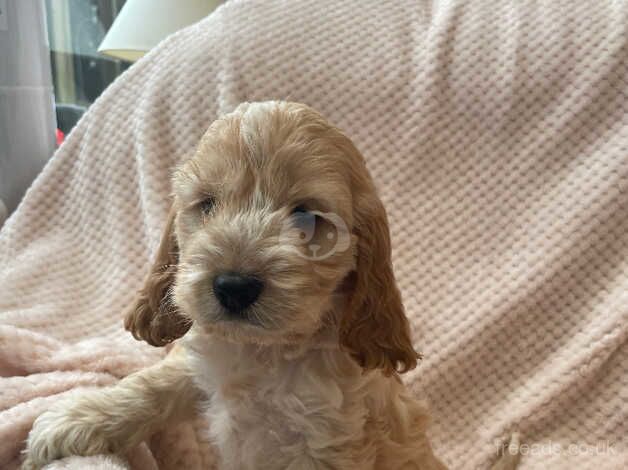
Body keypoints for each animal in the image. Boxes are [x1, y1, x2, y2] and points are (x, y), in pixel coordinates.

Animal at [22, 101, 516, 468]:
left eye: (306, 218)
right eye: (208, 204)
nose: (233, 286)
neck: (263, 352)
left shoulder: (326, 441)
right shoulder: (201, 364)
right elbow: (151, 384)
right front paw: (75, 420)